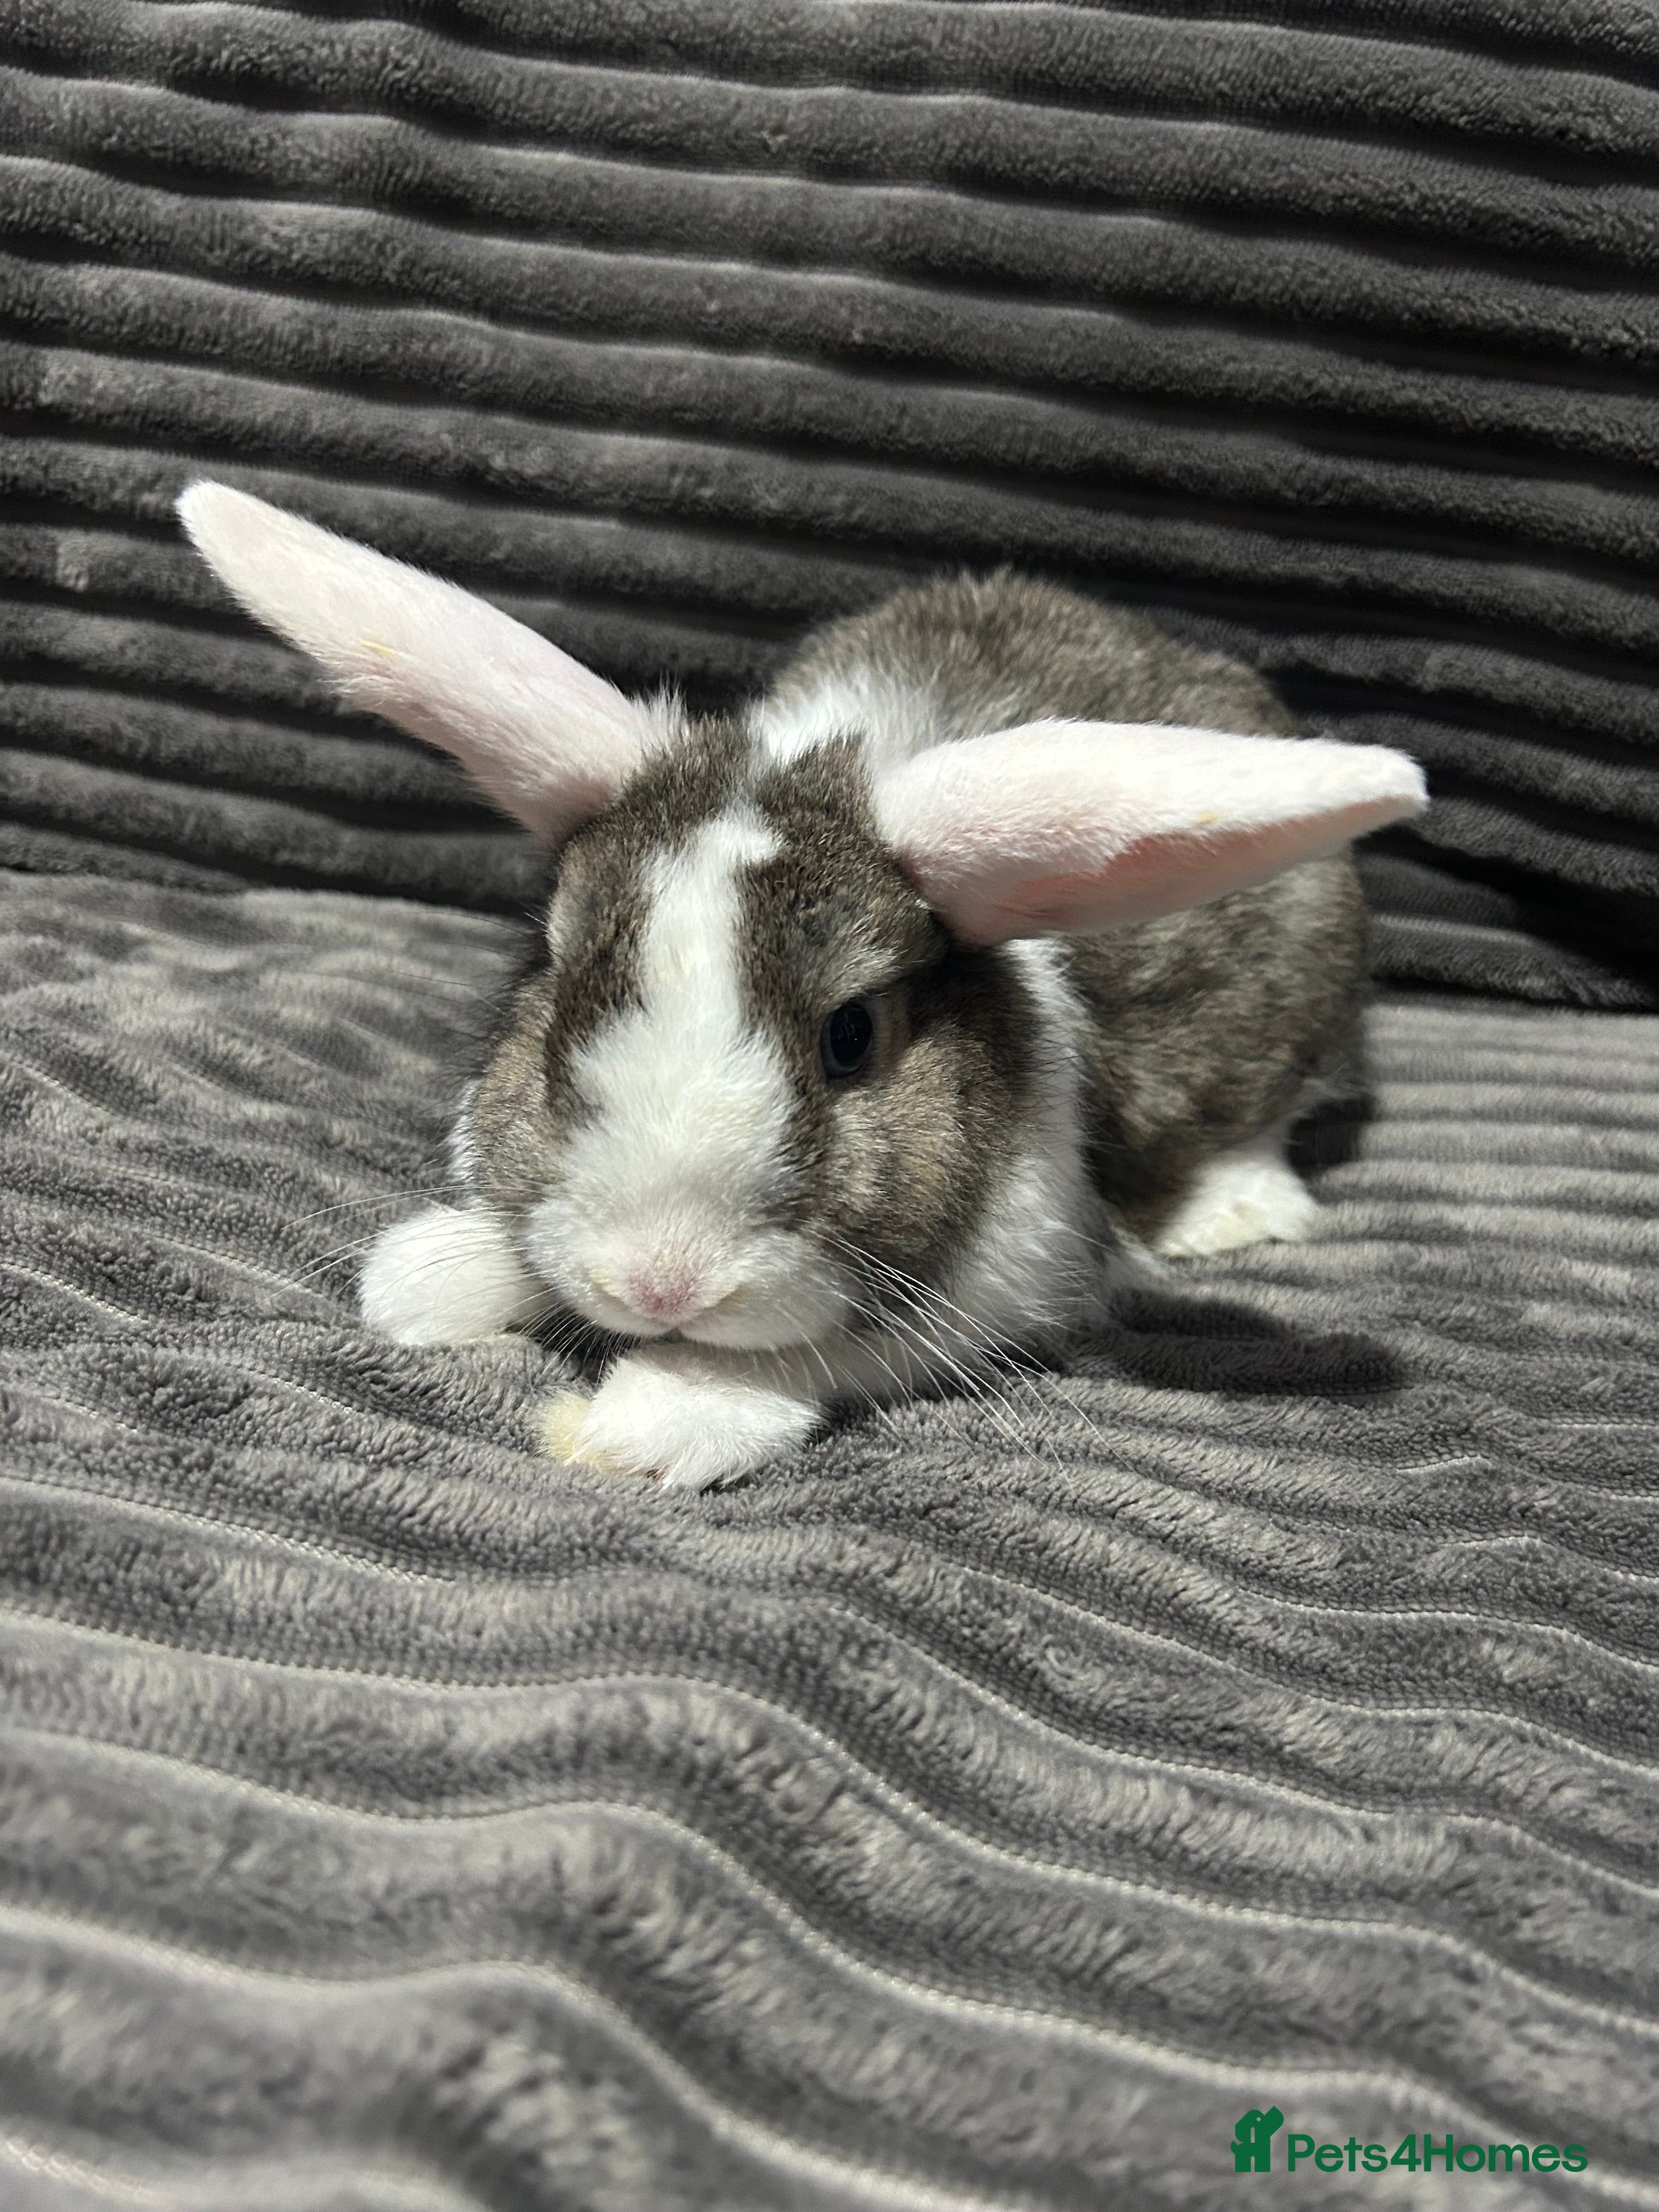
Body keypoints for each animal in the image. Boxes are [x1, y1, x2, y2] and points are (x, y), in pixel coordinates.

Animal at [178, 483, 1426, 1492]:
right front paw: (429, 1278)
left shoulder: (1008, 1283)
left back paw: (1233, 1210)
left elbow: (812, 1348)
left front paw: (656, 1422)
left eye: (851, 1036)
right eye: (565, 989)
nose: (659, 1283)